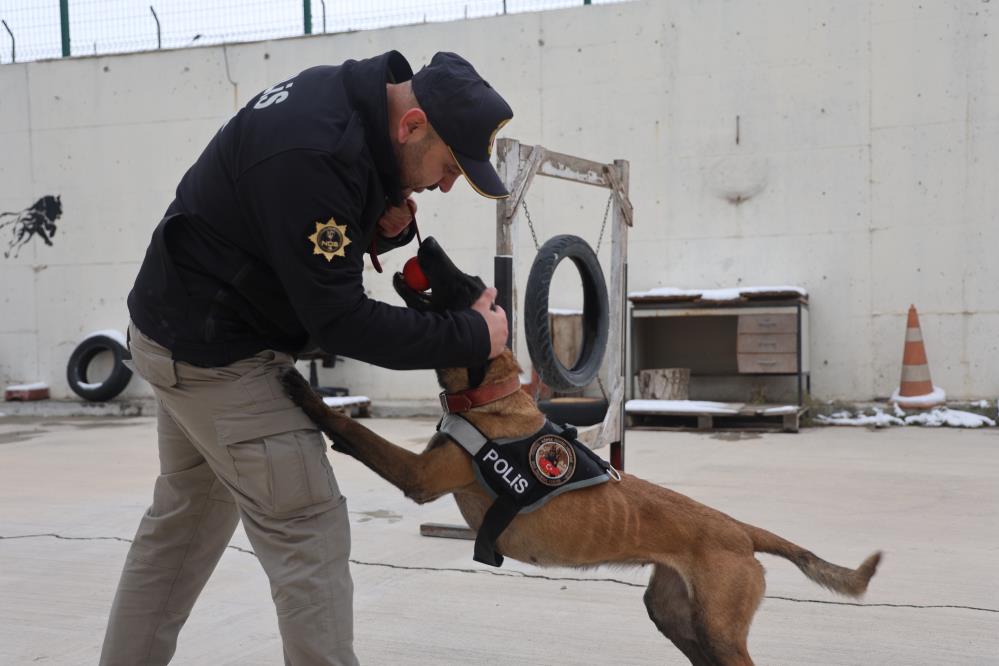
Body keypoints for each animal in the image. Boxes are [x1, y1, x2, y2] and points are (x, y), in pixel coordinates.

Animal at [278, 239, 880, 664]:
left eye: (467, 282)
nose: (424, 243)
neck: (491, 398)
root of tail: (741, 531)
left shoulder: (421, 476)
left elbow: (356, 433)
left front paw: (306, 392)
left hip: (719, 631)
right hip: (676, 617)